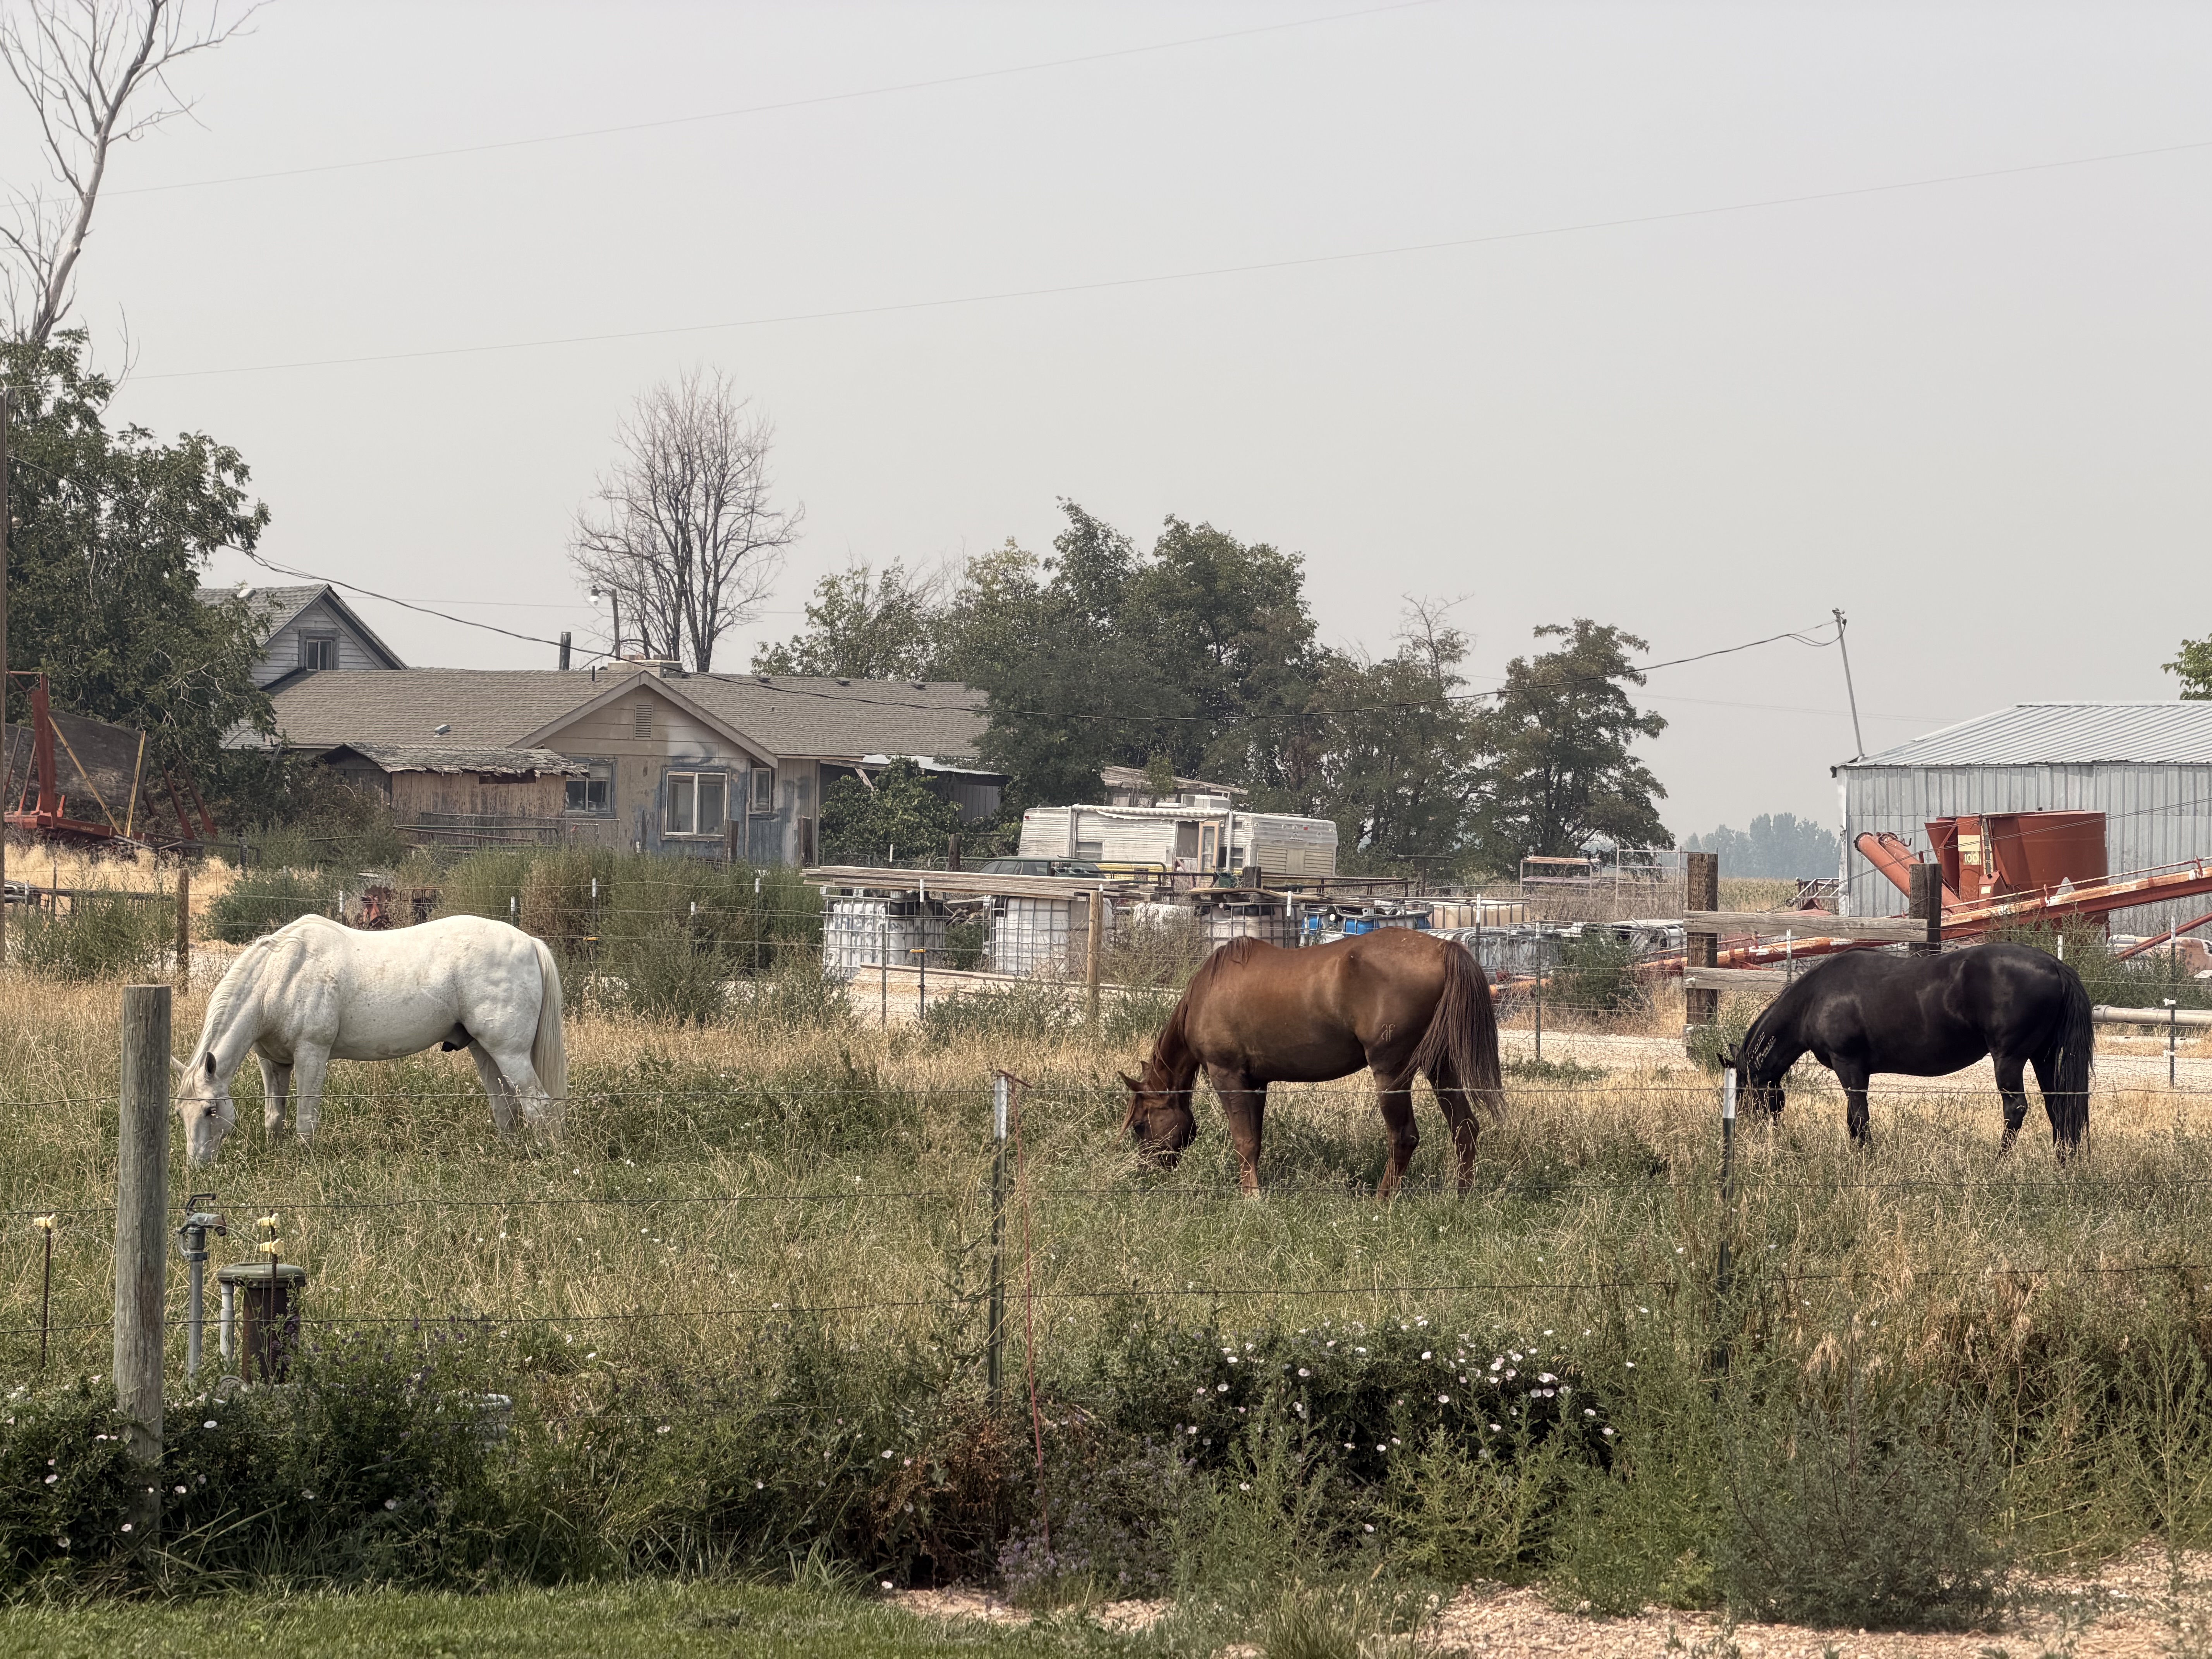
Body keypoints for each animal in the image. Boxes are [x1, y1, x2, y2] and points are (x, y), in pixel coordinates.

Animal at [172, 913, 568, 1166]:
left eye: (210, 1110)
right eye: (180, 1112)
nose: (198, 1165)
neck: (280, 976)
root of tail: (529, 942)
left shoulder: (311, 1055)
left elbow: (306, 1118)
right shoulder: (273, 1062)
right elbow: (274, 1117)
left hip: (509, 1052)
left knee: (539, 1106)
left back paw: (544, 1156)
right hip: (484, 1050)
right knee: (506, 1106)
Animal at [1120, 928, 1504, 1196]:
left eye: (1139, 1125)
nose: (1146, 1173)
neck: (1206, 992)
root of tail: (1443, 950)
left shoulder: (1227, 1075)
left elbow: (1243, 1141)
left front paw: (1250, 1199)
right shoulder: (1256, 1082)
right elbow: (1255, 1141)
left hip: (1392, 1072)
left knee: (1404, 1137)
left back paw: (1382, 1201)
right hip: (1441, 1066)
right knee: (1464, 1127)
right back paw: (1460, 1197)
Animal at [1721, 941, 2093, 1155]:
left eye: (1743, 1090)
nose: (1750, 1136)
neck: (1817, 997)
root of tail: (2055, 965)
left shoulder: (1848, 1065)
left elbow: (1859, 1117)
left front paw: (1866, 1159)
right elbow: (1854, 1117)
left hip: (2010, 1058)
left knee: (2015, 1109)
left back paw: (2000, 1161)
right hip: (2044, 1056)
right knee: (2059, 1108)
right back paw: (2063, 1161)